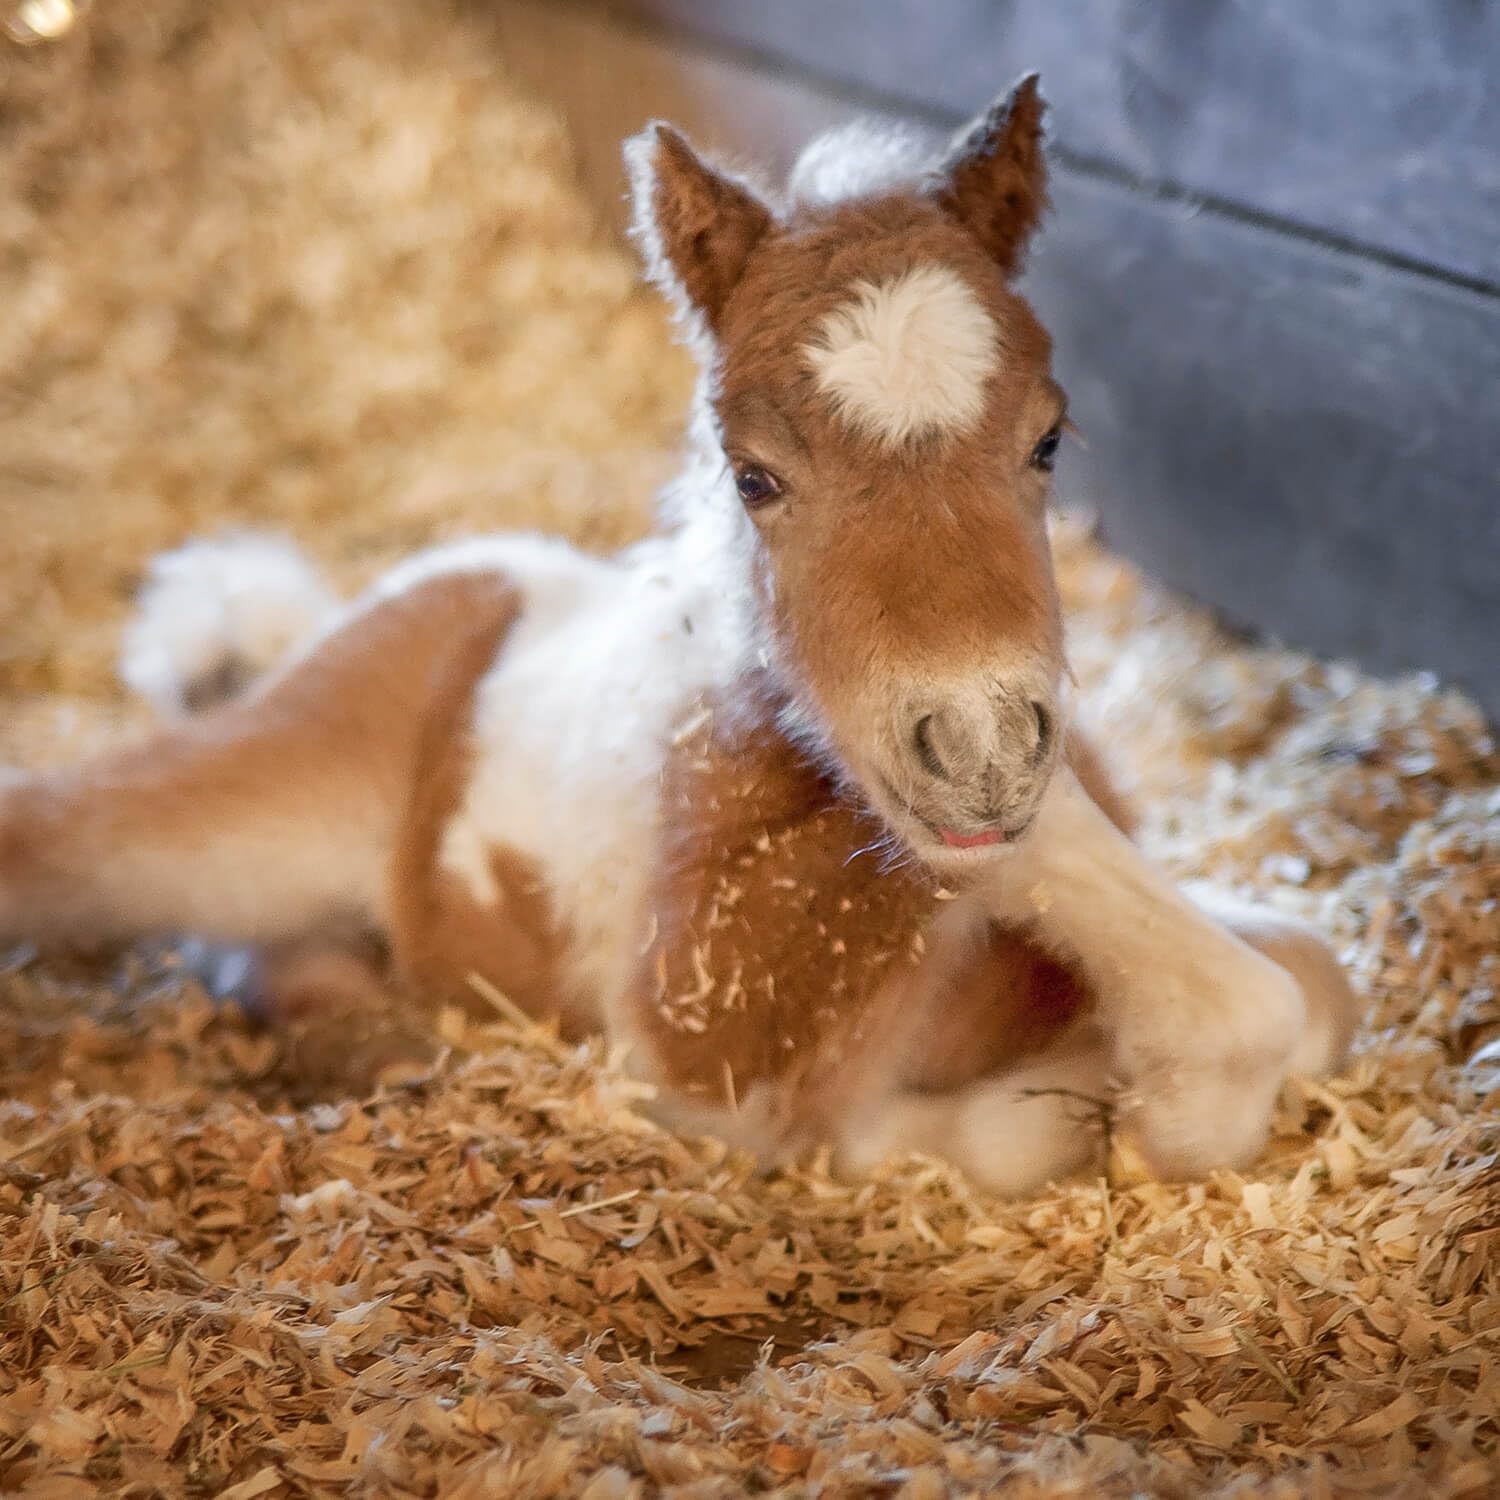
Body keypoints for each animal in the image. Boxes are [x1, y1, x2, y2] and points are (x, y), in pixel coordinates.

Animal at [0, 77, 1359, 1193]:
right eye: (752, 476)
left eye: (1048, 440)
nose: (980, 748)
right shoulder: (706, 1069)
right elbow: (980, 1122)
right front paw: (1107, 1114)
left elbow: (1310, 982)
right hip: (253, 805)